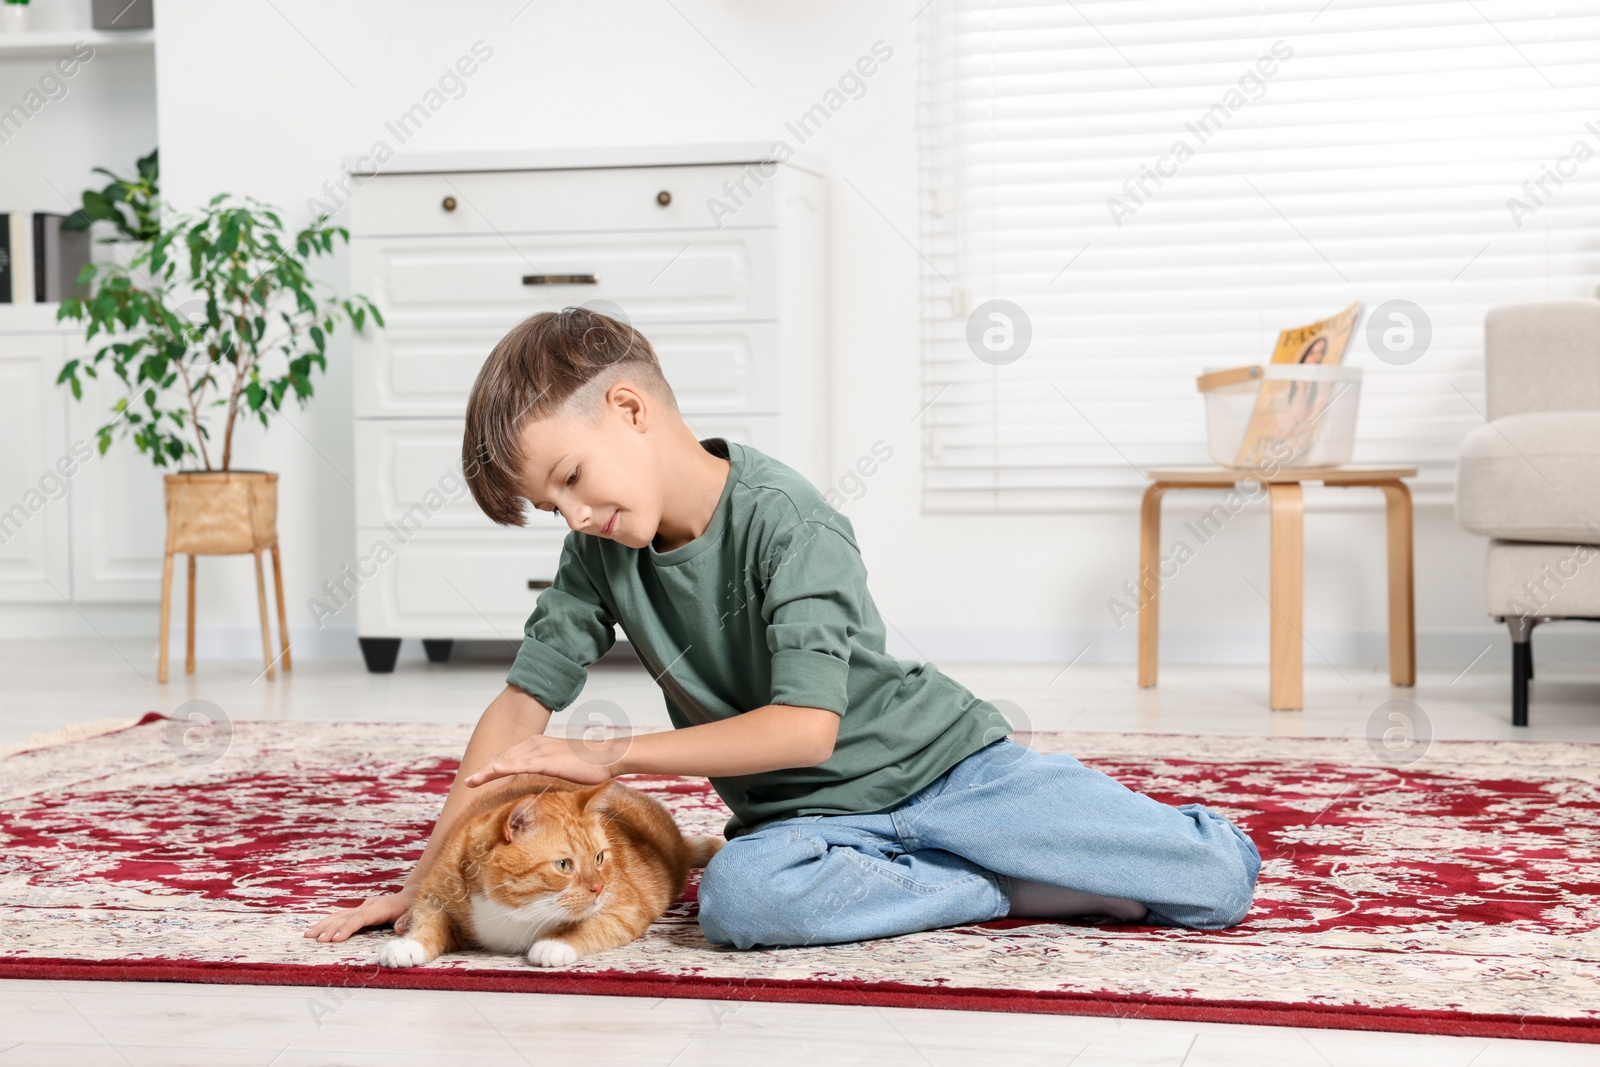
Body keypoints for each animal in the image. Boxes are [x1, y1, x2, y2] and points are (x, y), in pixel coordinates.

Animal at [377, 771, 716, 972]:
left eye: (599, 857)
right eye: (563, 865)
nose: (598, 888)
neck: (514, 910)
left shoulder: (625, 909)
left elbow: (586, 926)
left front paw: (554, 944)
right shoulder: (434, 896)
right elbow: (429, 924)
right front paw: (409, 945)